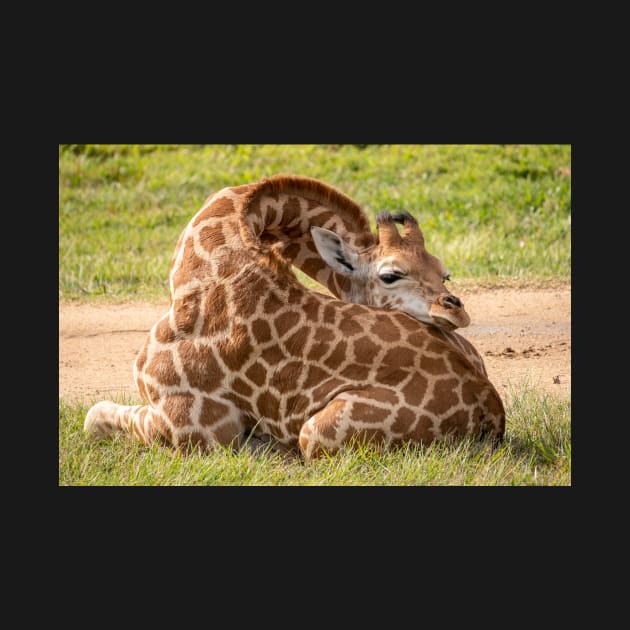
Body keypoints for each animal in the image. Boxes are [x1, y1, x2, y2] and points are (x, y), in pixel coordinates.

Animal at [85, 175, 508, 462]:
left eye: (443, 274)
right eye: (391, 274)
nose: (455, 309)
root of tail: (492, 409)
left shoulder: (192, 424)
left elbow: (94, 415)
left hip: (317, 432)